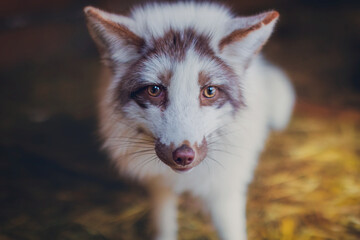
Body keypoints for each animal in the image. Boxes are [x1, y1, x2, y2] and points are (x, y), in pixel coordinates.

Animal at [84, 2, 296, 240]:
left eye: (209, 91)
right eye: (154, 90)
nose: (183, 156)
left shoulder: (226, 187)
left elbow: (231, 229)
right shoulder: (159, 184)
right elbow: (164, 223)